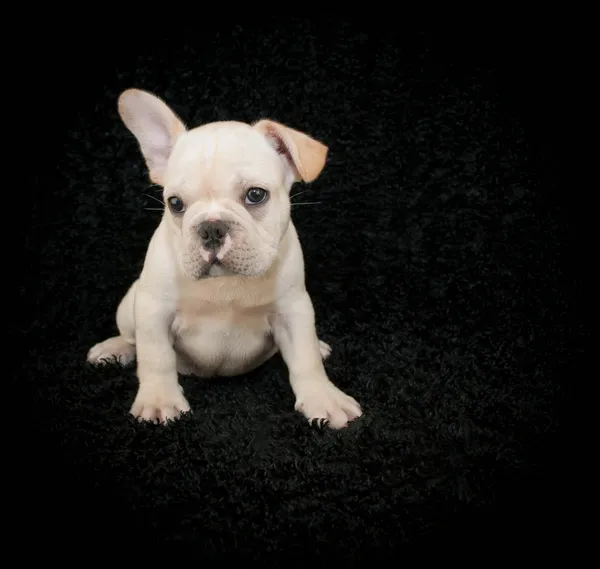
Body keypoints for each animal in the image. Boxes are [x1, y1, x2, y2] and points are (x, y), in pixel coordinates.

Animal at [87, 87, 364, 430]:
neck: (225, 284)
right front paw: (159, 400)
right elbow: (156, 356)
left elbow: (305, 357)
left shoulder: (293, 308)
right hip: (130, 305)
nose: (211, 227)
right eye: (175, 203)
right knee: (131, 336)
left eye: (256, 195)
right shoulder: (154, 311)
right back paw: (115, 348)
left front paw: (323, 397)